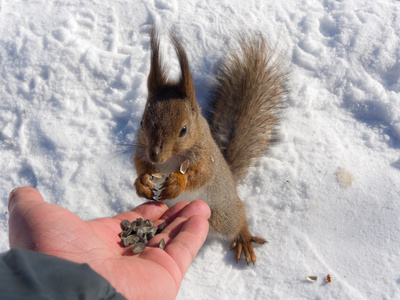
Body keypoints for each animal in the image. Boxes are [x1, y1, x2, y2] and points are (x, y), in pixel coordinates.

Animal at [134, 26, 288, 264]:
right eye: (142, 123)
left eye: (184, 130)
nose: (155, 156)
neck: (170, 160)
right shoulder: (140, 147)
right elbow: (138, 163)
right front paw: (141, 182)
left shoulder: (206, 155)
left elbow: (203, 174)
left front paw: (178, 182)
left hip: (222, 214)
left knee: (238, 216)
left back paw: (243, 236)